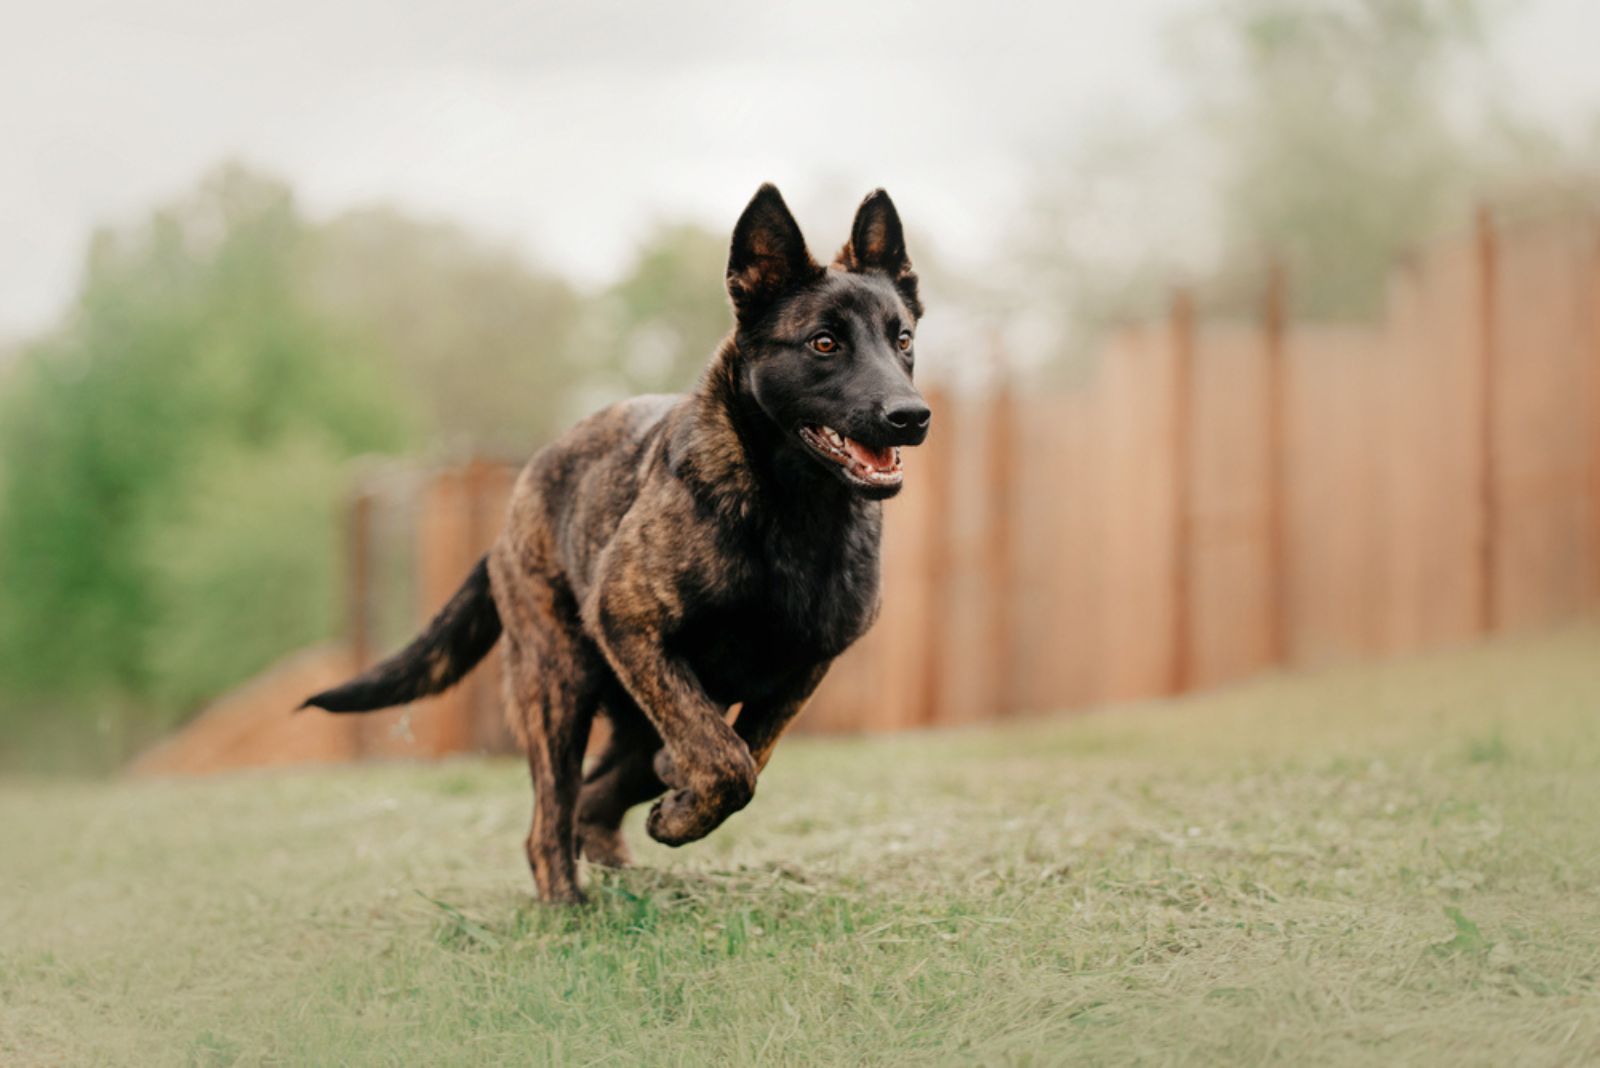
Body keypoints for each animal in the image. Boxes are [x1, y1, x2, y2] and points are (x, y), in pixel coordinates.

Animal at [302, 183, 928, 901]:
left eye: (902, 339)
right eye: (824, 343)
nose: (911, 416)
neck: (791, 510)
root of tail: (508, 522)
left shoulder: (801, 669)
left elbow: (746, 753)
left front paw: (679, 806)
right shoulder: (631, 625)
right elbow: (726, 762)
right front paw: (683, 810)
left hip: (624, 709)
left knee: (598, 796)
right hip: (558, 684)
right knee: (551, 818)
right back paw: (568, 907)